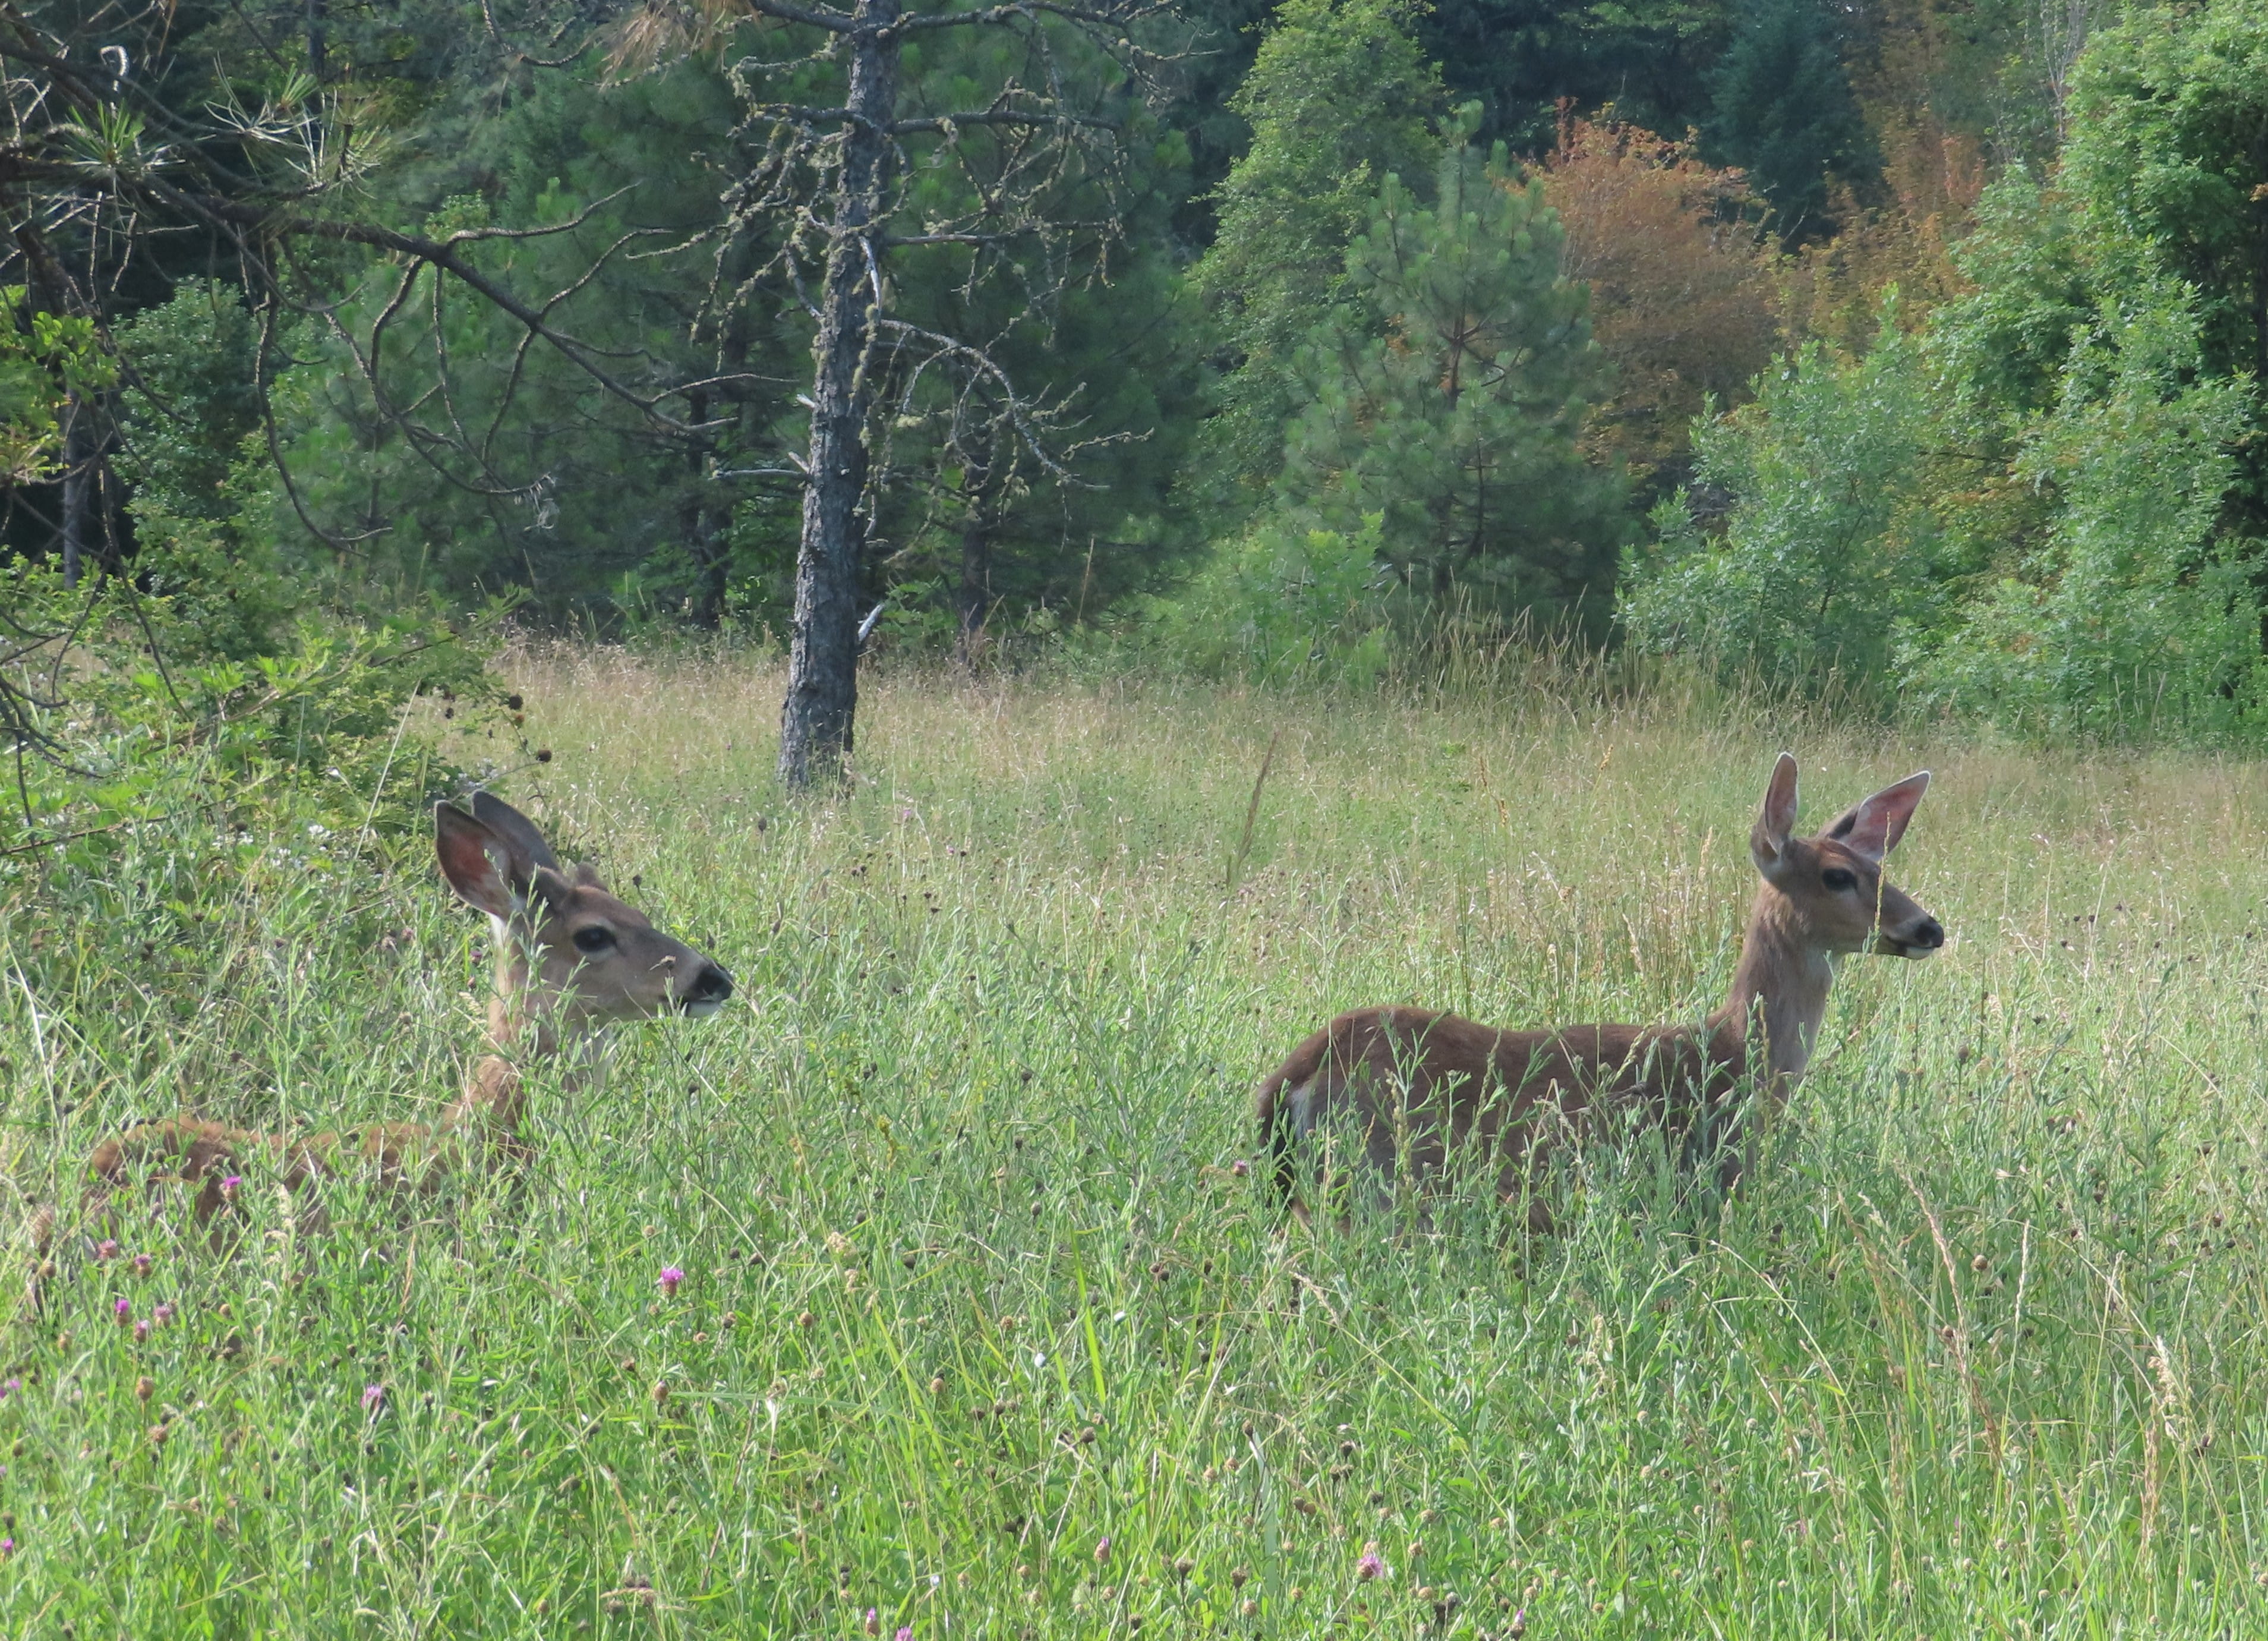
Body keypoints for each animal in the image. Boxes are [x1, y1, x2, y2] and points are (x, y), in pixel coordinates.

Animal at [1256, 753, 1943, 1230]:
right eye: (1837, 876)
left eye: (1881, 868)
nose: (1927, 927)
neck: (1729, 1057)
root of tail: (1291, 1076)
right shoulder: (1697, 1179)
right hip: (1382, 1177)